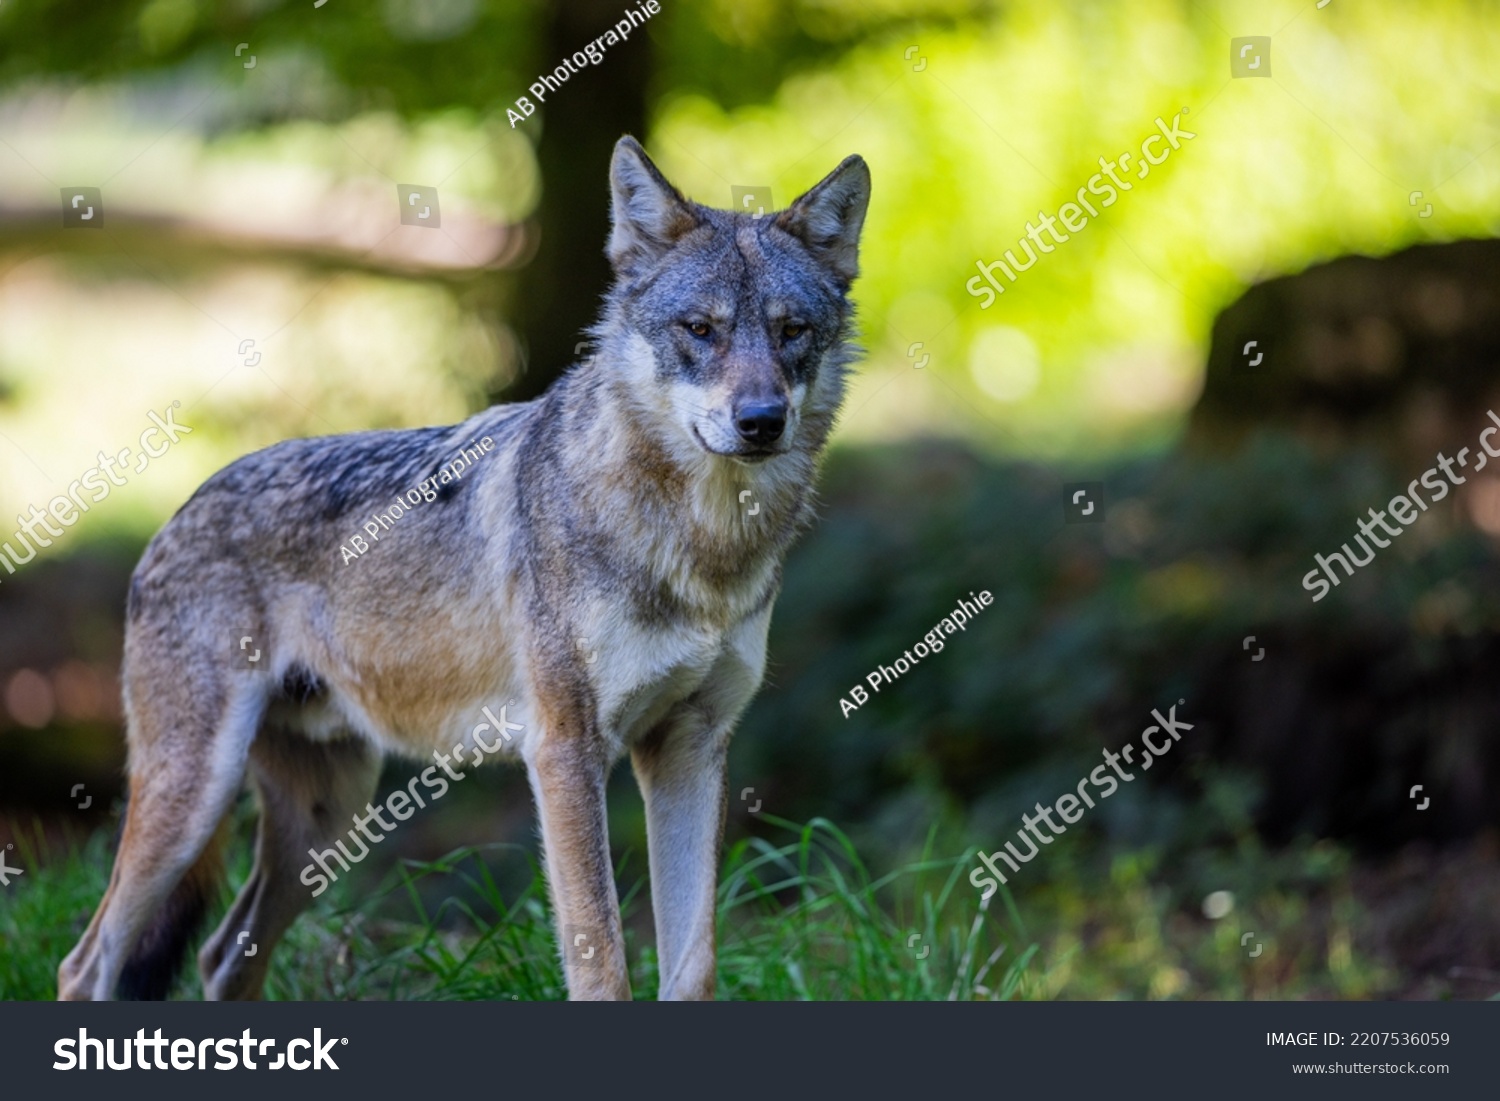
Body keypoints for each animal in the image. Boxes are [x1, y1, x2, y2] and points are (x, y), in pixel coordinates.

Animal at [58, 135, 876, 1002]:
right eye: (701, 328)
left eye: (792, 331)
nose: (761, 420)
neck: (703, 549)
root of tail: (178, 510)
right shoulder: (563, 750)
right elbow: (602, 960)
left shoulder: (690, 747)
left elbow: (693, 969)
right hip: (196, 796)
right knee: (87, 962)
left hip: (326, 819)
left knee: (222, 954)